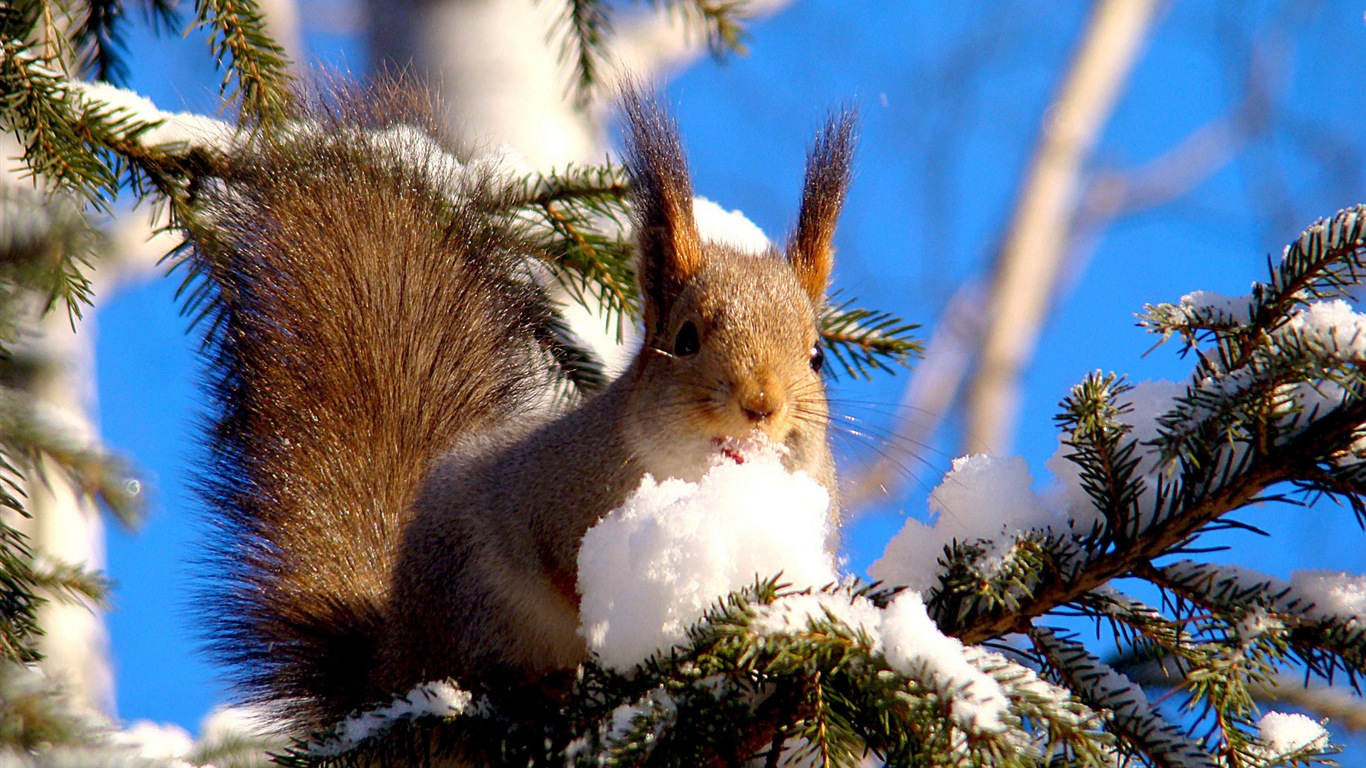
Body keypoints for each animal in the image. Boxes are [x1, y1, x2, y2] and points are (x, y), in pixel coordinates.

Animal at [195, 80, 852, 732]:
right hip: (474, 604)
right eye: (685, 339)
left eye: (817, 356)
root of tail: (391, 658)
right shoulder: (549, 500)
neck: (701, 477)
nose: (761, 404)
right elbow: (564, 575)